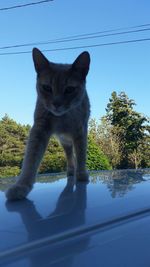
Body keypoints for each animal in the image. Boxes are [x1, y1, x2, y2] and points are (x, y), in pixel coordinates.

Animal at [5, 48, 90, 201]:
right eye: (47, 88)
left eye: (69, 89)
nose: (56, 104)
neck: (62, 117)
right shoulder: (39, 129)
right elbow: (31, 160)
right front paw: (21, 186)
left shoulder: (80, 132)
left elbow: (81, 155)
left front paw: (81, 175)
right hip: (64, 141)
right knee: (69, 155)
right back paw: (70, 171)